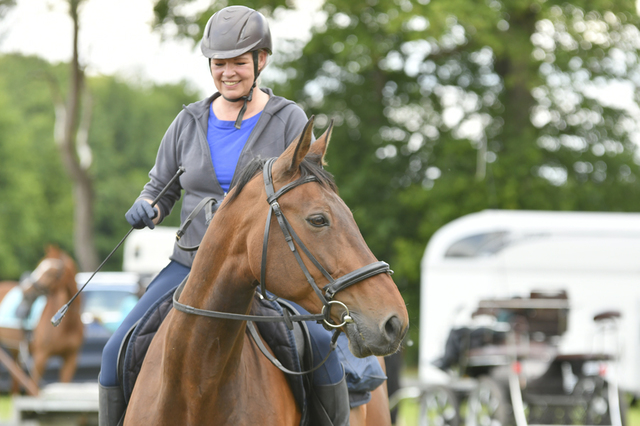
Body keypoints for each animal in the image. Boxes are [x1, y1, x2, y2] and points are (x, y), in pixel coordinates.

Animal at [0, 245, 84, 392]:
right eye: (39, 266)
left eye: (51, 272)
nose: (26, 290)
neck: (68, 324)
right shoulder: (40, 357)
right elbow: (34, 388)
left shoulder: (70, 359)